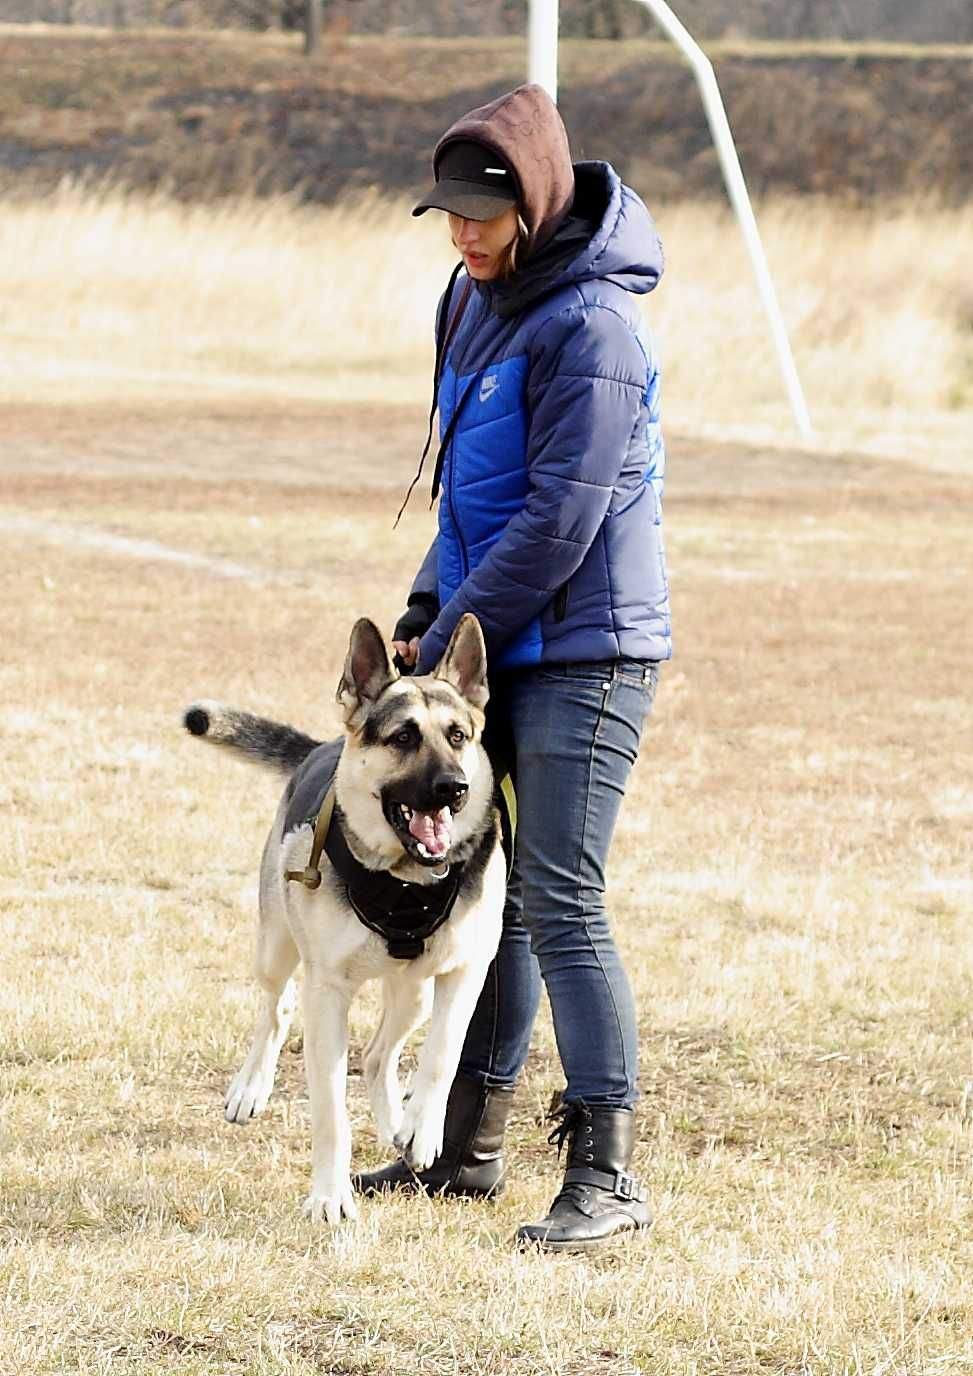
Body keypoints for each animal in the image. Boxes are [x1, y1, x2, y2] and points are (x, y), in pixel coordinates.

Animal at [183, 619, 506, 1221]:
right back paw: (250, 1089)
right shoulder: (328, 993)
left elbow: (443, 1055)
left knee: (379, 1055)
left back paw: (399, 1124)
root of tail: (325, 746)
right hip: (276, 948)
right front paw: (330, 1198)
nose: (454, 788)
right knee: (277, 1006)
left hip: (414, 992)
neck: (404, 881)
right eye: (403, 737)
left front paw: (422, 1127)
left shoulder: (467, 969)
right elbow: (330, 1110)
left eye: (458, 735)